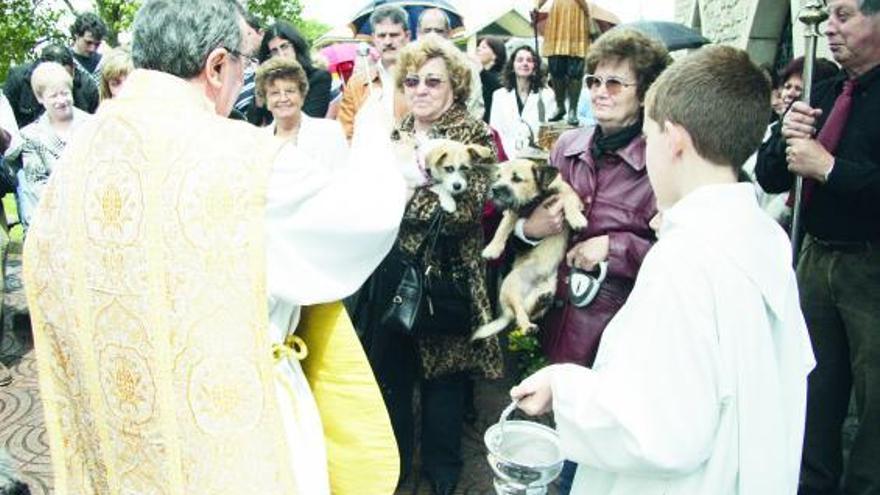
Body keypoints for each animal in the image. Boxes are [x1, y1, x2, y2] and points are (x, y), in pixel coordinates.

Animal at [470, 159, 588, 340]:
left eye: (516, 179)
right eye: (498, 177)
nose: (494, 189)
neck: (535, 200)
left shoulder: (568, 194)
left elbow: (567, 199)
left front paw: (576, 219)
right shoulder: (513, 212)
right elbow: (502, 228)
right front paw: (493, 248)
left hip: (548, 287)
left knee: (529, 311)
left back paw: (541, 302)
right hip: (512, 286)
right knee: (519, 313)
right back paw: (527, 327)